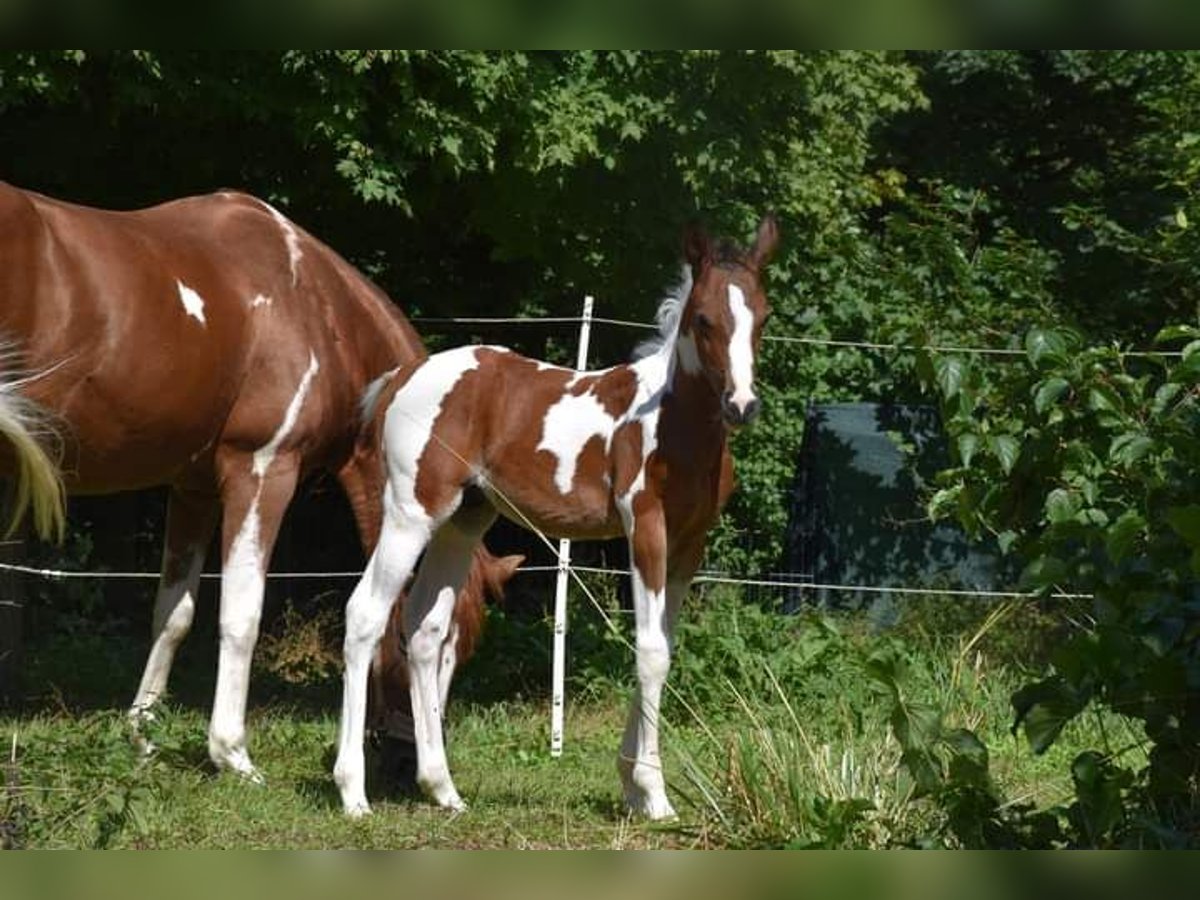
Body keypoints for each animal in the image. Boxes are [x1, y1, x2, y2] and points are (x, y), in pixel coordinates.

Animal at [0, 181, 513, 782]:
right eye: (418, 647)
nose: (409, 756)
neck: (313, 305)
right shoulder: (263, 470)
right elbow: (241, 613)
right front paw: (232, 753)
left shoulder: (193, 488)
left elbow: (174, 614)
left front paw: (143, 737)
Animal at [336, 214, 777, 820]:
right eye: (705, 318)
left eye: (764, 316)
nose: (743, 405)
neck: (673, 422)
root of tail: (403, 376)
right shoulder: (646, 530)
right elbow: (651, 653)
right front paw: (655, 795)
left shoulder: (690, 543)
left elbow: (663, 645)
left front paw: (632, 785)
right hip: (410, 514)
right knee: (365, 615)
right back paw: (353, 792)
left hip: (462, 522)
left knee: (426, 630)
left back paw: (443, 789)